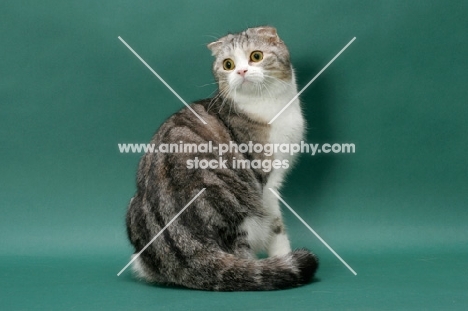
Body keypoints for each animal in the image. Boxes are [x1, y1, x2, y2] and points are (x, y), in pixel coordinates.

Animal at [126, 25, 320, 292]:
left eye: (256, 56)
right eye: (228, 64)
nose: (241, 71)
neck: (269, 104)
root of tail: (186, 255)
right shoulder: (268, 182)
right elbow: (277, 226)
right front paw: (282, 255)